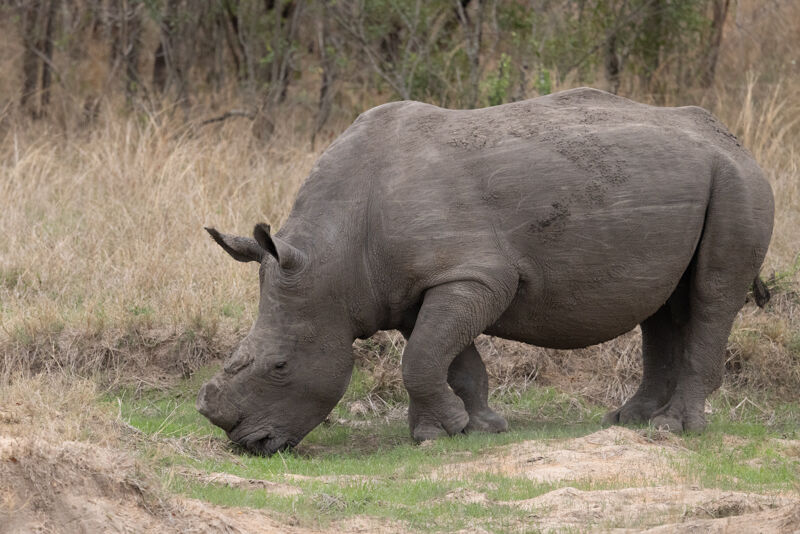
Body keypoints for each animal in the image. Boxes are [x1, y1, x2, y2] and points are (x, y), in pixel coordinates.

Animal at [197, 88, 773, 455]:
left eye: (280, 366)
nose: (251, 445)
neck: (334, 261)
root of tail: (735, 140)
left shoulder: (473, 276)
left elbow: (421, 358)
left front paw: (437, 434)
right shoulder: (418, 287)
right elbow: (448, 358)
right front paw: (478, 427)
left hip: (739, 183)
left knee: (711, 296)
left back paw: (673, 430)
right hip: (688, 180)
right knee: (664, 303)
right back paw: (628, 421)